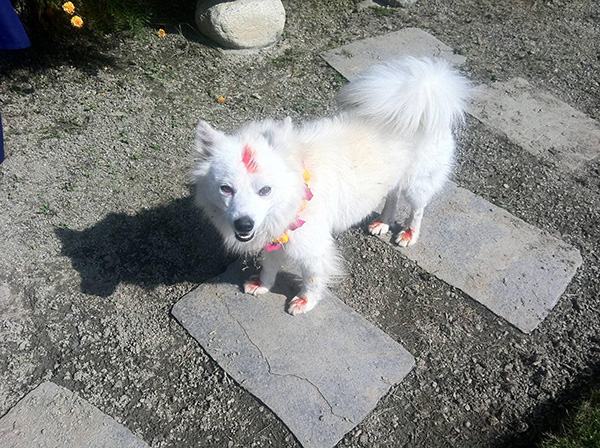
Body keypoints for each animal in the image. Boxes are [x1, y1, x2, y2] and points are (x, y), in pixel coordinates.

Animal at [192, 56, 468, 316]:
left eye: (265, 190)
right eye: (226, 189)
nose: (244, 224)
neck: (296, 189)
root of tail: (424, 87)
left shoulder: (312, 247)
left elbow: (312, 278)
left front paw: (305, 302)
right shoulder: (277, 236)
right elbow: (269, 265)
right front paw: (262, 285)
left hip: (417, 183)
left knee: (417, 209)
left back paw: (409, 233)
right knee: (392, 196)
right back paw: (383, 222)